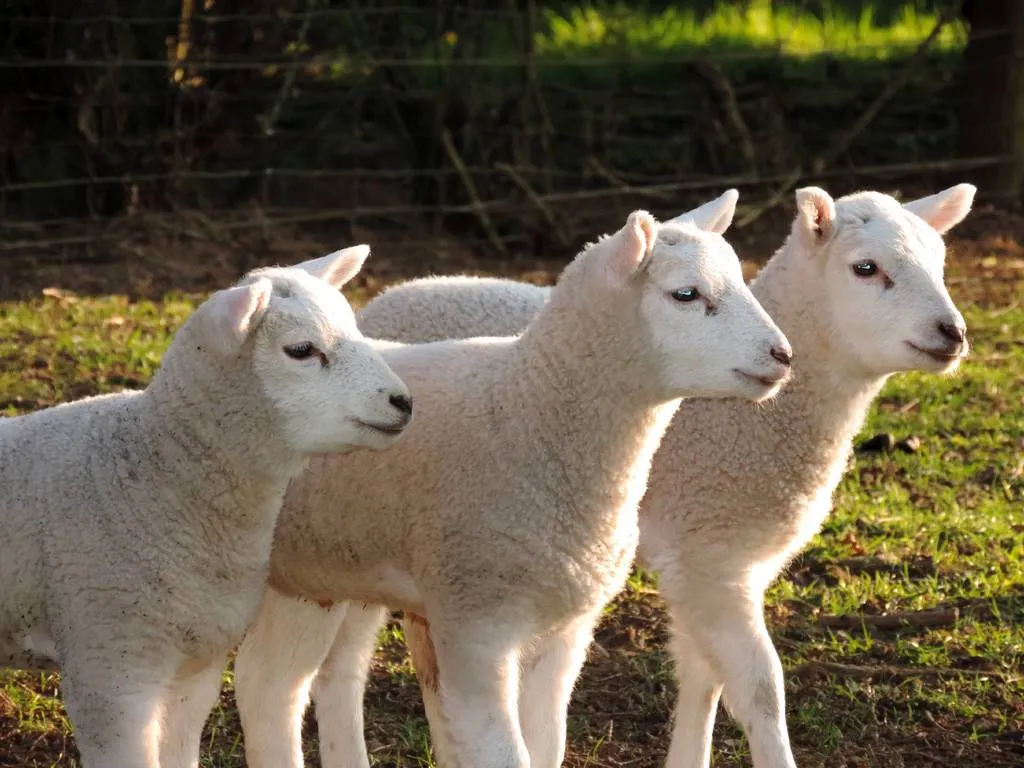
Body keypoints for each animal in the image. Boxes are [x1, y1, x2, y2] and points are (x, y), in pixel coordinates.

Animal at [232, 199, 794, 768]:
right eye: (686, 294)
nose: (783, 355)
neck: (528, 412)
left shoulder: (565, 629)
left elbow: (548, 744)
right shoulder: (475, 622)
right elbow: (505, 754)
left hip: (314, 571)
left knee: (272, 684)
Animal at [312, 184, 976, 768]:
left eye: (942, 265)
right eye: (866, 268)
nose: (954, 334)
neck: (761, 427)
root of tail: (391, 295)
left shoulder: (723, 560)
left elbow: (704, 676)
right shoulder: (708, 548)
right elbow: (760, 686)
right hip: (362, 537)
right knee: (340, 670)